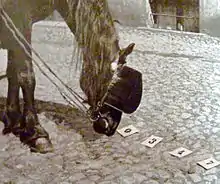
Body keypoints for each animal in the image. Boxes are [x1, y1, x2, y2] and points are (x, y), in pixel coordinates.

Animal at [0, 0, 143, 154]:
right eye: (112, 84)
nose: (112, 125)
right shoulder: (19, 21)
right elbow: (26, 77)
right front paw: (35, 132)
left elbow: (13, 74)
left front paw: (13, 119)